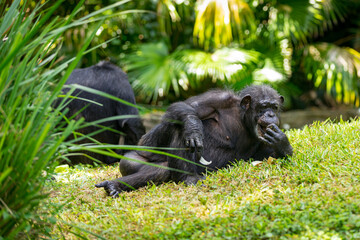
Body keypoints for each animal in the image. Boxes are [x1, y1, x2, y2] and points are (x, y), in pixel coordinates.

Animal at [95, 85, 292, 197]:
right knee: (176, 128)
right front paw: (193, 127)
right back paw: (187, 176)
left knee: (163, 170)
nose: (271, 114)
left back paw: (114, 186)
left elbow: (272, 155)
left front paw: (281, 141)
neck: (243, 118)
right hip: (137, 155)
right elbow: (187, 107)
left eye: (274, 107)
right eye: (263, 106)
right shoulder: (218, 98)